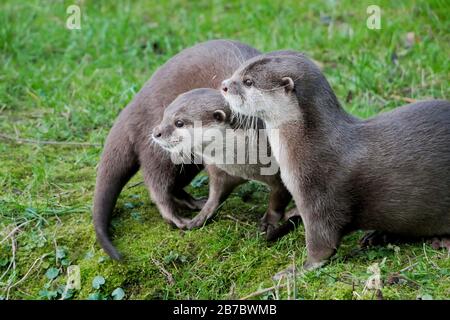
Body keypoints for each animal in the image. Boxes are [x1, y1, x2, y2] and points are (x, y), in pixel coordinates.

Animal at [151, 89, 298, 236]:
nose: (156, 132)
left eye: (179, 123)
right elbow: (216, 195)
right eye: (164, 115)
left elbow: (277, 202)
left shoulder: (282, 173)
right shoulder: (221, 171)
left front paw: (268, 222)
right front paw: (201, 216)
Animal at [221, 50, 450, 270]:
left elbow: (322, 245)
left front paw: (295, 270)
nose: (223, 85)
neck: (312, 146)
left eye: (248, 81)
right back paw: (376, 236)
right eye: (237, 71)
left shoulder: (320, 197)